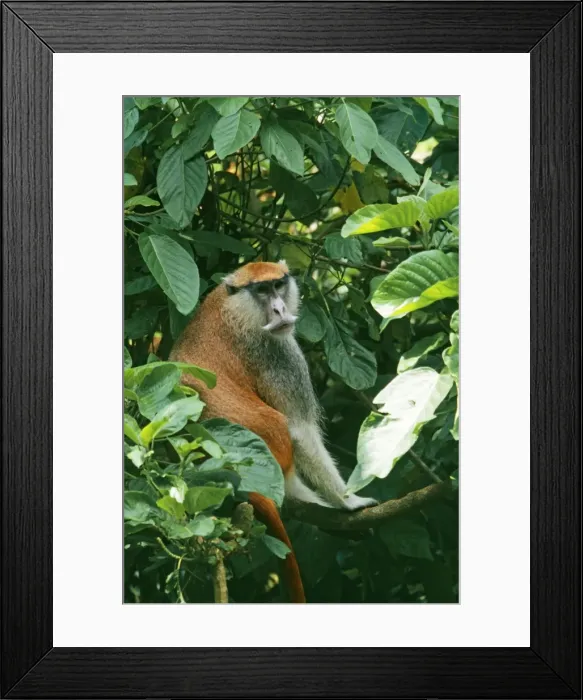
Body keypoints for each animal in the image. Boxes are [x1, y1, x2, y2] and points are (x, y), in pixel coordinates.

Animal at [170, 260, 376, 603]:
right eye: (262, 290)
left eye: (278, 285)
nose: (279, 310)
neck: (233, 307)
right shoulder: (275, 350)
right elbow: (300, 429)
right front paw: (348, 501)